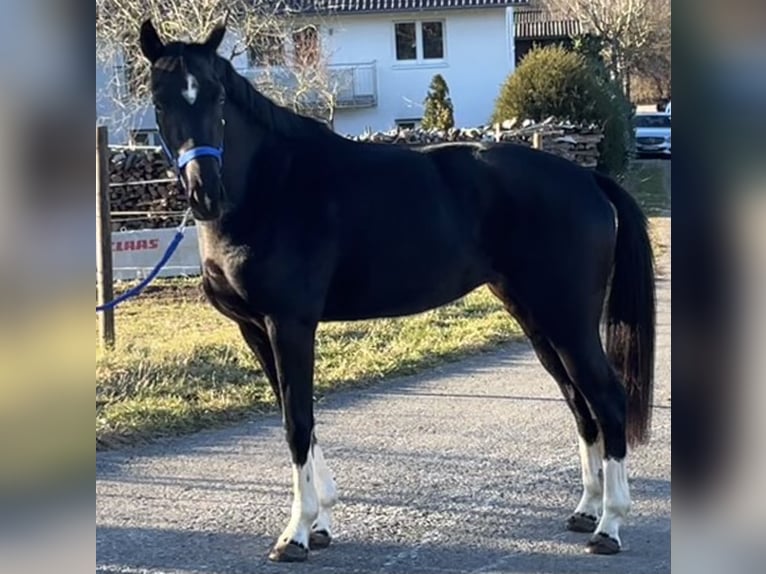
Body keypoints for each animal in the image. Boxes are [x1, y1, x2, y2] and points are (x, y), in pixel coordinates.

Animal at [141, 20, 656, 564]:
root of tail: (588, 179)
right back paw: (586, 511)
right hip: (537, 320)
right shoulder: (255, 330)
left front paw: (296, 533)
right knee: (581, 404)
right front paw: (322, 520)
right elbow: (295, 414)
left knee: (608, 399)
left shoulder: (290, 325)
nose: (205, 192)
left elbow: (297, 422)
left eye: (216, 96)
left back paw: (609, 526)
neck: (270, 187)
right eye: (160, 99)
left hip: (569, 320)